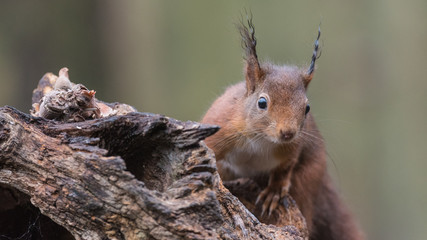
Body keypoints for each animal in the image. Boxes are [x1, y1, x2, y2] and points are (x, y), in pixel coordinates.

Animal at [202, 17, 362, 239]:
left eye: (307, 108)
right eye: (262, 103)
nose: (288, 133)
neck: (261, 139)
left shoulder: (291, 149)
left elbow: (285, 168)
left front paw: (274, 192)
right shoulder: (223, 130)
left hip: (307, 180)